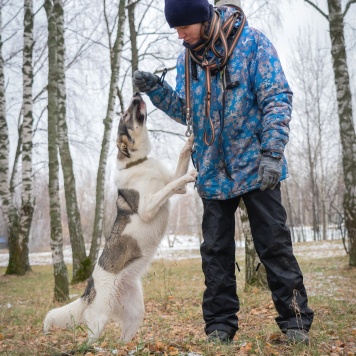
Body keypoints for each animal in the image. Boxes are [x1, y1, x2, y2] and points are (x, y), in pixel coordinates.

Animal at [43, 91, 197, 342]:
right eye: (126, 113)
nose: (136, 94)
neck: (138, 162)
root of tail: (89, 288)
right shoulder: (147, 206)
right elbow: (169, 186)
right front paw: (191, 174)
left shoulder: (176, 187)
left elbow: (178, 169)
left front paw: (190, 141)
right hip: (99, 319)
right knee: (88, 341)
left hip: (135, 313)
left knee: (124, 338)